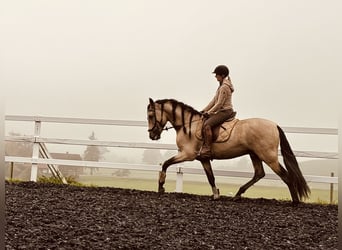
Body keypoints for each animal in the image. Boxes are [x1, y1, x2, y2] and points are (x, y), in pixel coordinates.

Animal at [147, 97, 310, 203]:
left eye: (151, 115)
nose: (152, 135)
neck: (188, 125)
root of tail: (274, 125)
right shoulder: (203, 158)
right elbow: (211, 177)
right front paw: (216, 195)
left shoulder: (187, 154)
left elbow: (166, 164)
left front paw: (161, 186)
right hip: (254, 154)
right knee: (259, 173)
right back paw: (238, 194)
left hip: (268, 156)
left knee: (285, 176)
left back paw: (295, 202)